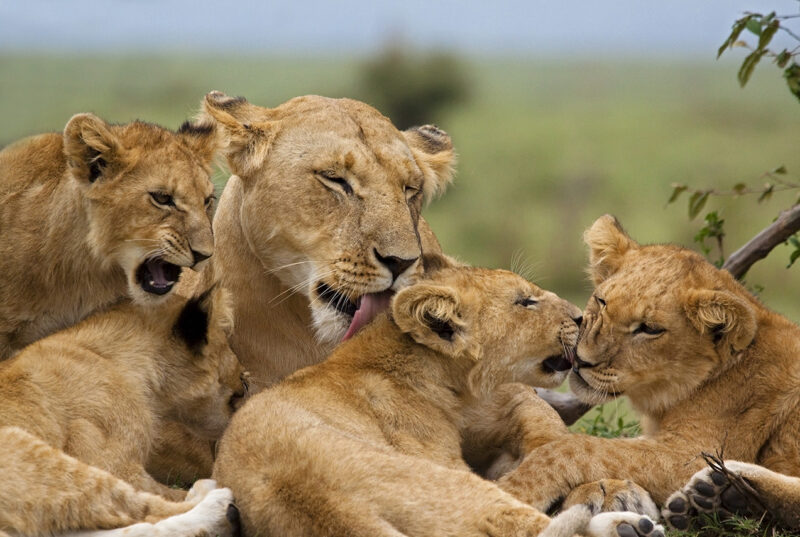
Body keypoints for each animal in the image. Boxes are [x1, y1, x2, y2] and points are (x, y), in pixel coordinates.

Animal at [0, 285, 247, 536]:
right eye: (229, 347)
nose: (246, 382)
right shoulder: (110, 462)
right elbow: (162, 496)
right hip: (26, 445)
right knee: (144, 509)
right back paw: (215, 504)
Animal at [489, 214, 800, 531]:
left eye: (649, 329)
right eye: (602, 301)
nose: (581, 360)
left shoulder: (693, 451)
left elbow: (575, 448)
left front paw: (514, 490)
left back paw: (727, 489)